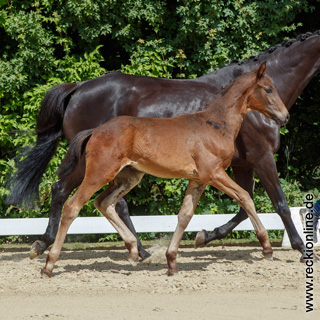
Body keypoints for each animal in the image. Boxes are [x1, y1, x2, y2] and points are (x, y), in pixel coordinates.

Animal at [41, 62, 288, 278]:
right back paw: (49, 264)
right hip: (99, 173)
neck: (214, 125)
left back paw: (133, 249)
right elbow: (245, 197)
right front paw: (266, 246)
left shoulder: (198, 179)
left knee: (103, 203)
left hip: (129, 176)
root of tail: (95, 131)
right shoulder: (214, 173)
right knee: (72, 206)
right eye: (268, 89)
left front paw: (171, 261)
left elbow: (185, 215)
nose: (285, 116)